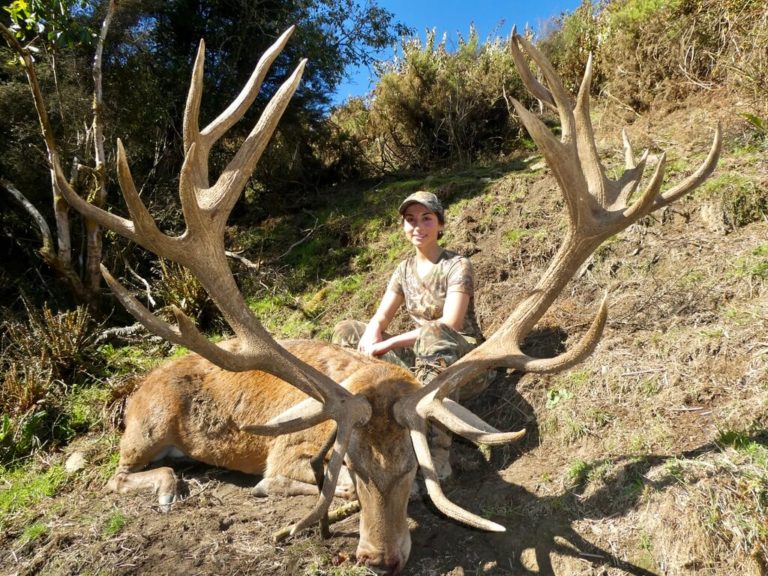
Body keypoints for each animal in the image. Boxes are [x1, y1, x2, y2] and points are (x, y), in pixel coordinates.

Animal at [53, 24, 721, 576]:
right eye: (350, 463)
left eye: (408, 470)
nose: (377, 558)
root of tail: (130, 392)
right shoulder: (285, 455)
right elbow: (296, 486)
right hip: (147, 426)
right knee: (117, 474)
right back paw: (170, 488)